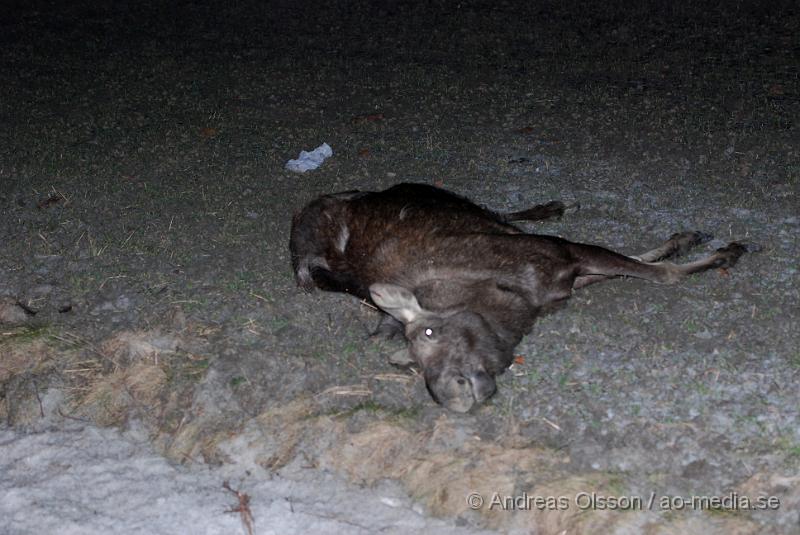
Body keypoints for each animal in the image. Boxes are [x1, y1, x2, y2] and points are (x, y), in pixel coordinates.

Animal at [290, 182, 752, 412]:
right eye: (414, 366)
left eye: (429, 333)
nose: (446, 395)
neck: (515, 301)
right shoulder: (569, 270)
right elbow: (646, 265)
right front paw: (701, 248)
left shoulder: (567, 254)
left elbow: (655, 269)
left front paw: (703, 247)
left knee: (499, 211)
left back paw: (550, 205)